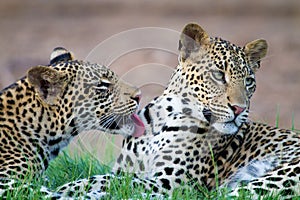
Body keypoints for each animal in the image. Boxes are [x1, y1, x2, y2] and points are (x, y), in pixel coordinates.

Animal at [47, 22, 300, 199]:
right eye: (218, 75)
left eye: (249, 81)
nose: (240, 109)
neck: (160, 120)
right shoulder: (124, 170)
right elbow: (107, 179)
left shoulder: (171, 184)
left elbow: (114, 183)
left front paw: (65, 190)